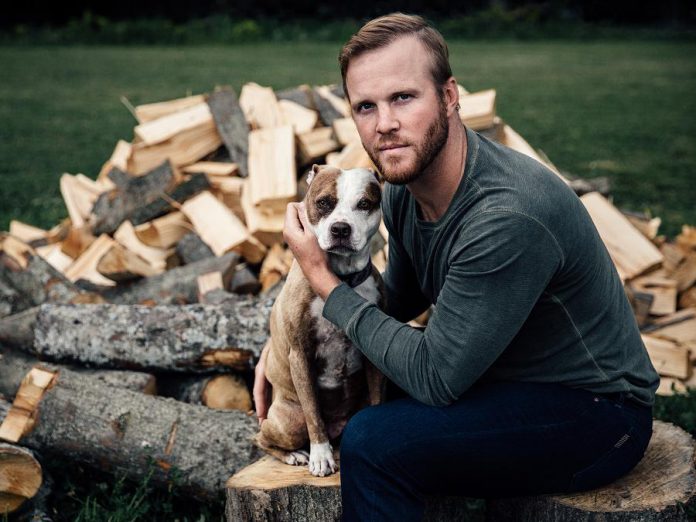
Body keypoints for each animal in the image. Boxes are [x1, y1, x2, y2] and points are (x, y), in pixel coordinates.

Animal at [254, 164, 386, 476]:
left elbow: (378, 399)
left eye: (364, 203)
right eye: (324, 202)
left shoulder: (373, 355)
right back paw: (295, 455)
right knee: (262, 437)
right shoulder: (299, 355)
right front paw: (321, 456)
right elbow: (314, 412)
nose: (340, 229)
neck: (342, 279)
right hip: (289, 420)